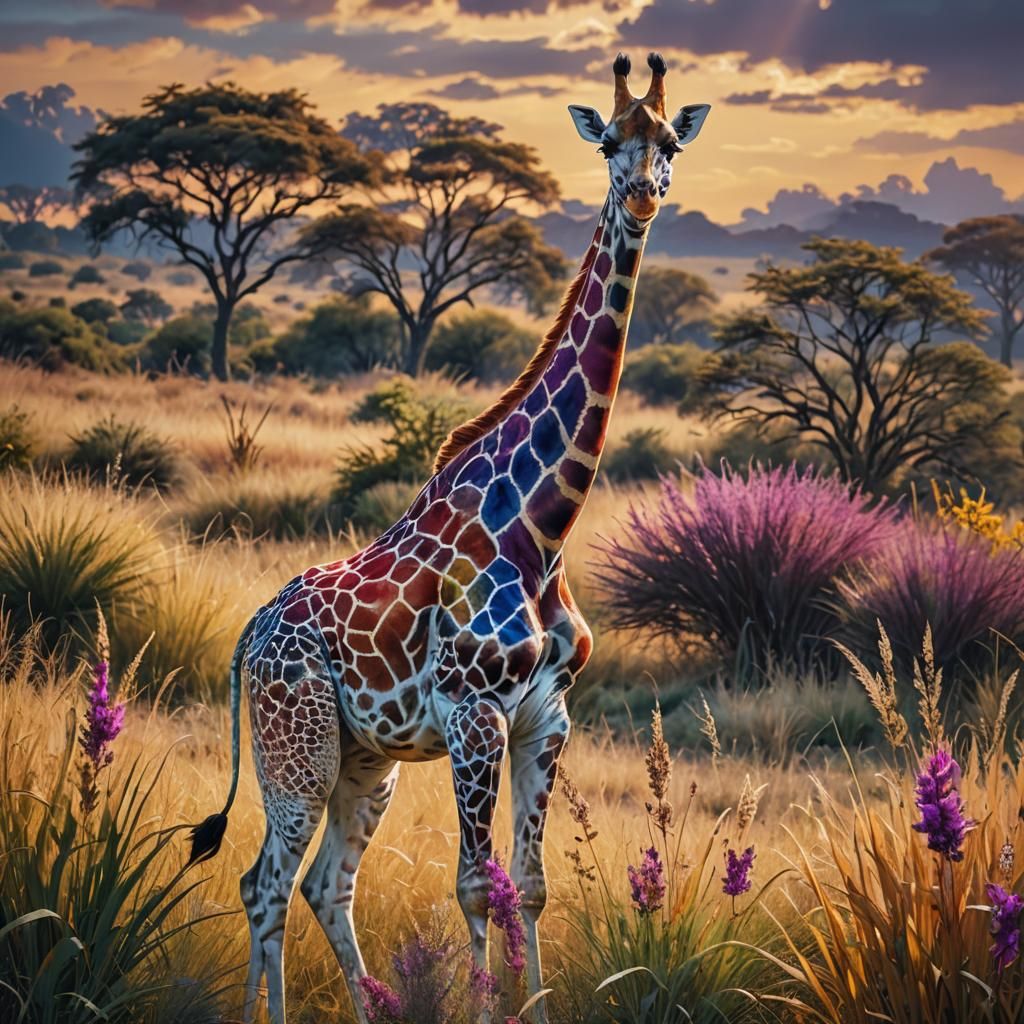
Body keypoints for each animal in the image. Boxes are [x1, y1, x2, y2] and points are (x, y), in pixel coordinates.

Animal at [188, 51, 709, 1024]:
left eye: (670, 144)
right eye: (609, 143)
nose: (643, 195)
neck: (542, 524)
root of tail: (249, 636)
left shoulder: (547, 716)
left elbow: (530, 886)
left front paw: (530, 1005)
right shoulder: (475, 714)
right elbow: (473, 885)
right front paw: (485, 1005)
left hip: (365, 763)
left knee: (323, 886)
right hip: (296, 750)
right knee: (262, 884)